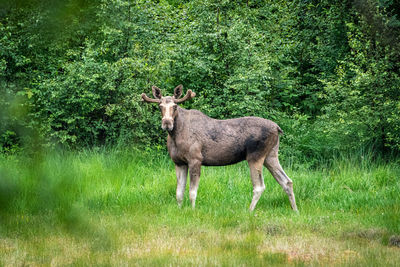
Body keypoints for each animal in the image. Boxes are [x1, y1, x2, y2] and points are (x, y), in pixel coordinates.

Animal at [142, 85, 298, 213]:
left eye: (175, 106)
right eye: (160, 106)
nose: (167, 123)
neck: (175, 135)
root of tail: (277, 128)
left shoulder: (195, 159)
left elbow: (192, 192)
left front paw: (192, 211)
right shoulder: (179, 162)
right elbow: (179, 193)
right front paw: (179, 210)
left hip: (255, 156)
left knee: (260, 186)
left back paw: (249, 211)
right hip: (271, 156)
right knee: (287, 181)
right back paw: (295, 211)